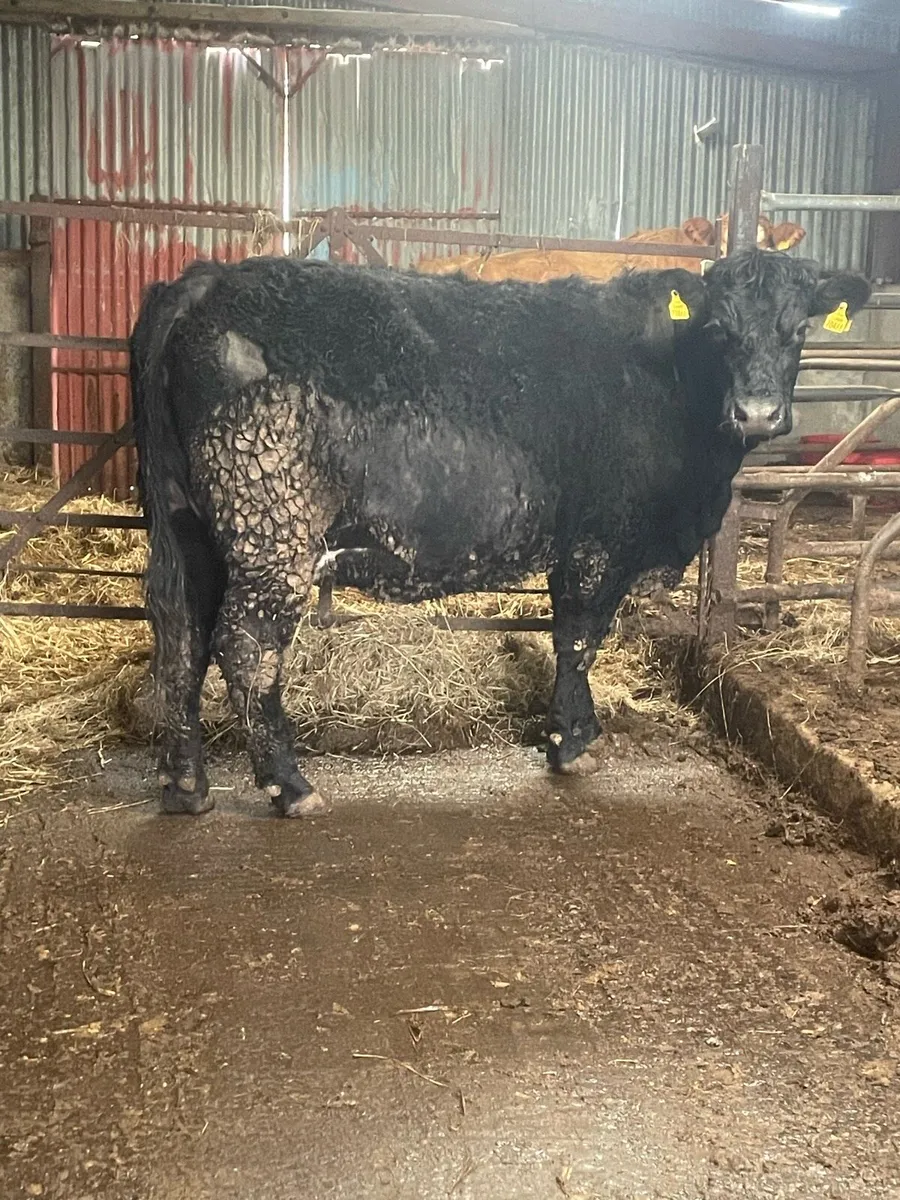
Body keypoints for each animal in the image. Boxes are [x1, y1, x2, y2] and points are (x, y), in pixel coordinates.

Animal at [130, 249, 869, 817]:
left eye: (798, 328)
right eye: (720, 328)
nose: (758, 412)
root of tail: (207, 279)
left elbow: (569, 633)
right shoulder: (600, 540)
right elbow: (579, 636)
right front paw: (573, 744)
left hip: (192, 527)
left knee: (181, 633)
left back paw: (186, 785)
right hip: (272, 527)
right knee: (243, 646)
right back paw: (290, 785)